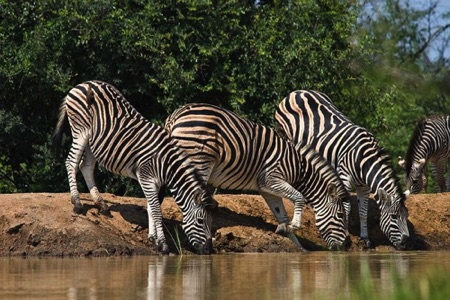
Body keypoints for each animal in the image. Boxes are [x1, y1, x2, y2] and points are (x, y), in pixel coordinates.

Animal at [52, 81, 214, 254]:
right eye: (200, 220)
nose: (208, 250)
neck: (166, 164)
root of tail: (83, 83)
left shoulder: (154, 183)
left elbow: (151, 208)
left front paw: (153, 238)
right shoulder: (147, 178)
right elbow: (157, 211)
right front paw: (163, 245)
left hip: (92, 140)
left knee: (86, 167)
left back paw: (101, 205)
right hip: (80, 131)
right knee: (71, 162)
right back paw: (77, 203)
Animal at [165, 103, 352, 251]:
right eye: (340, 215)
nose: (347, 246)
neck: (299, 168)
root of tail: (175, 115)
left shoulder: (267, 189)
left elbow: (281, 215)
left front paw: (295, 243)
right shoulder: (269, 178)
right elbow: (299, 197)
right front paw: (294, 226)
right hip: (198, 161)